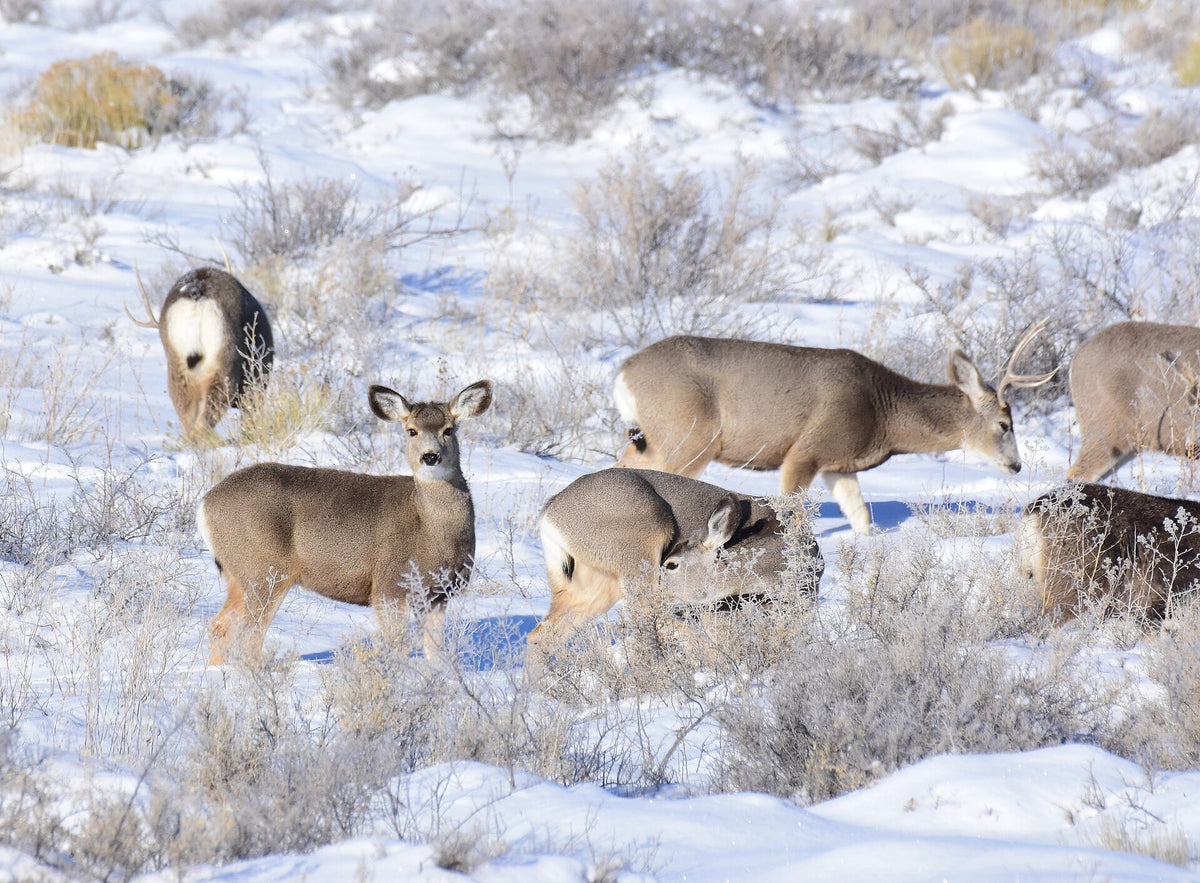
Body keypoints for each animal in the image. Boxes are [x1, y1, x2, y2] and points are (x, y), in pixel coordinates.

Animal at [197, 379, 493, 664]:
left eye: (449, 429)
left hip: (240, 574)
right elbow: (396, 647)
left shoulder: (439, 595)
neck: (430, 531)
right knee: (248, 634)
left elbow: (435, 651)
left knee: (221, 626)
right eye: (411, 431)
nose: (430, 456)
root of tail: (205, 505)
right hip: (263, 570)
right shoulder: (388, 585)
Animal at [528, 467, 823, 644]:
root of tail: (549, 513)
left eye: (672, 564)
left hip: (593, 583)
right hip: (643, 540)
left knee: (542, 635)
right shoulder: (716, 609)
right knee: (647, 614)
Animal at [613, 324, 1055, 534]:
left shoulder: (838, 465)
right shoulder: (806, 449)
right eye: (1004, 424)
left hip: (649, 438)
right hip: (689, 435)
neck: (882, 412)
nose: (1016, 466)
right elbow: (792, 512)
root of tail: (623, 374)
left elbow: (860, 515)